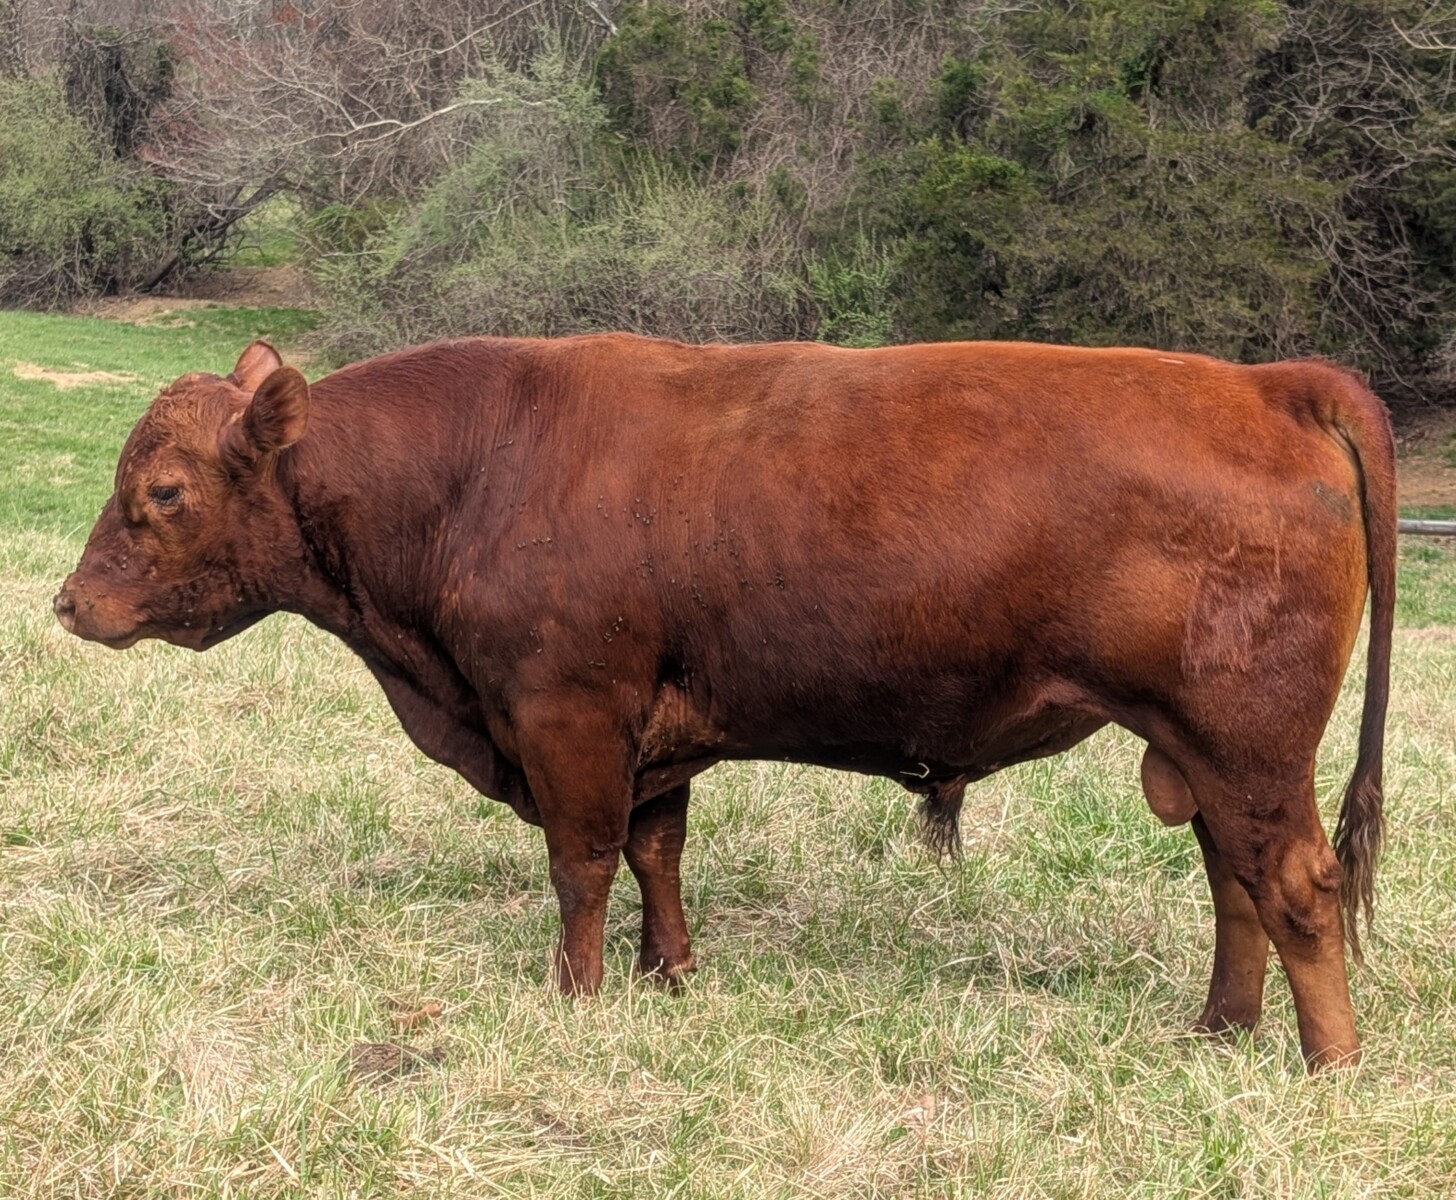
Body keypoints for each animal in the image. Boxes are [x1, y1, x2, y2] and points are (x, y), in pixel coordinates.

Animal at [53, 335, 1396, 1070]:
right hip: (1204, 752)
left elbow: (582, 864)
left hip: (1245, 743)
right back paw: (1219, 1029)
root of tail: (1266, 383)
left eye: (163, 492)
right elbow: (658, 851)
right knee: (1234, 883)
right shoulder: (653, 736)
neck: (472, 472)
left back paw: (1328, 1066)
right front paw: (671, 976)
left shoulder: (568, 715)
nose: (69, 603)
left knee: (1296, 886)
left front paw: (576, 994)